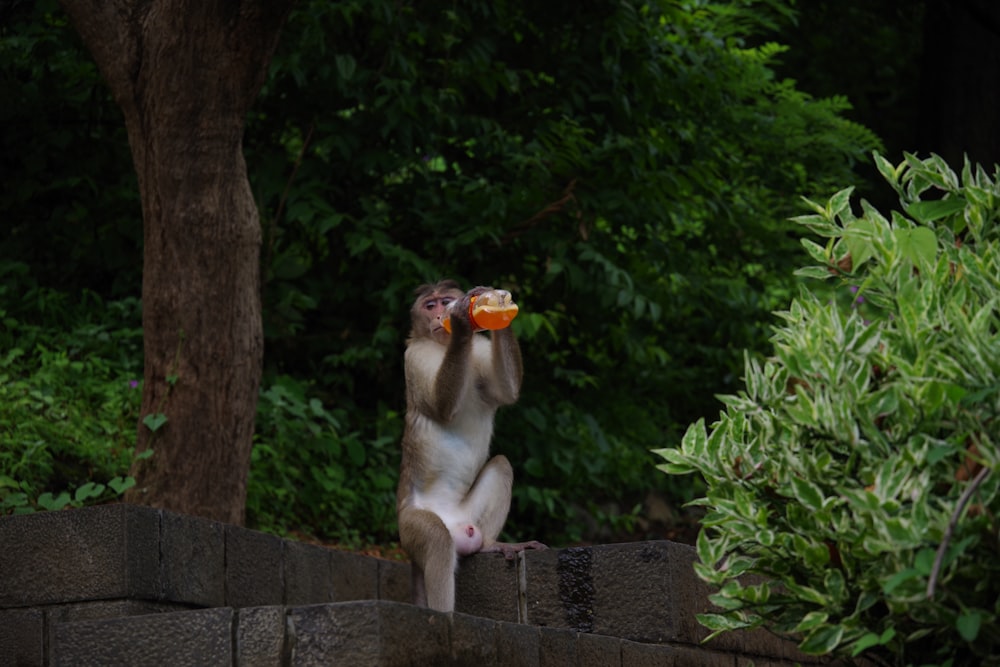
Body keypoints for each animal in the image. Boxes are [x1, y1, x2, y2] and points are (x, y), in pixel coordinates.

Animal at [396, 280, 548, 612]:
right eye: (430, 305)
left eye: (445, 300)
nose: (440, 315)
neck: (443, 346)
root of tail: (456, 525)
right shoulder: (414, 356)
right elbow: (442, 408)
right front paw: (464, 320)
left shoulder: (477, 350)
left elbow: (505, 392)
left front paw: (499, 307)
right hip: (410, 527)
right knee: (437, 541)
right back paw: (443, 617)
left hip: (468, 517)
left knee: (502, 464)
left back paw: (491, 545)